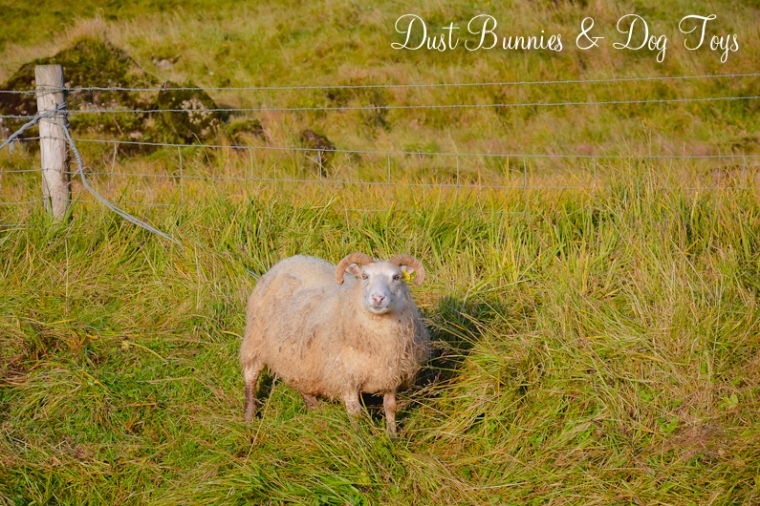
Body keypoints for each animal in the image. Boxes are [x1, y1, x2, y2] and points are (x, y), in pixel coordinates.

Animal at [239, 251, 428, 432]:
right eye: (364, 276)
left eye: (396, 277)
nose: (378, 298)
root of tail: (291, 259)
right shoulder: (346, 378)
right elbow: (355, 413)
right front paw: (361, 437)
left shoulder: (391, 375)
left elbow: (390, 407)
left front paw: (392, 435)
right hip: (255, 339)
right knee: (251, 375)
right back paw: (249, 416)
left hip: (296, 357)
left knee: (300, 382)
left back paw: (315, 411)